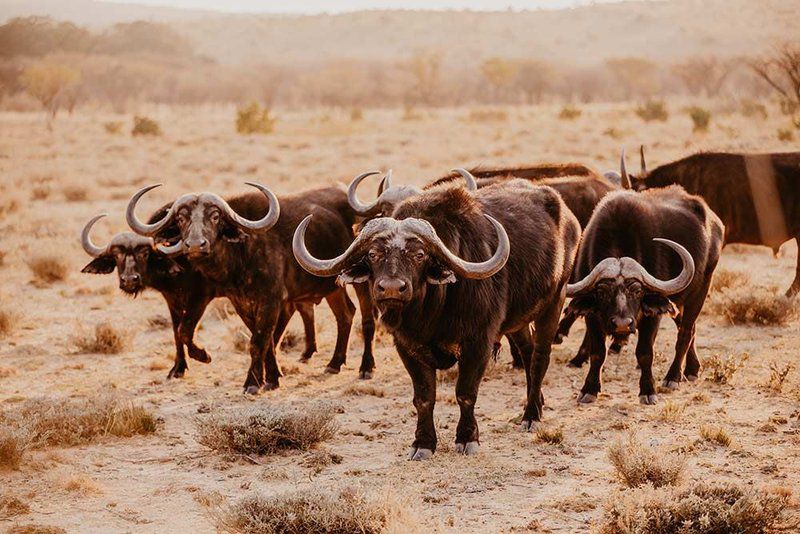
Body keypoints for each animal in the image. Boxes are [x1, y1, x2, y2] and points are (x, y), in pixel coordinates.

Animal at [126, 184, 376, 394]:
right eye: (181, 218)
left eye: (215, 216)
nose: (196, 245)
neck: (241, 254)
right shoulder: (240, 302)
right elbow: (266, 342)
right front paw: (271, 378)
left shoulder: (270, 301)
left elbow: (258, 342)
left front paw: (252, 383)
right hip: (332, 287)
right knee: (345, 314)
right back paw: (334, 363)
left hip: (362, 282)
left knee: (366, 319)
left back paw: (366, 367)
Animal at [290, 177, 580, 460]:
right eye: (373, 254)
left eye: (419, 255)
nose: (392, 288)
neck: (432, 313)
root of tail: (567, 216)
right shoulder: (407, 346)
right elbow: (423, 397)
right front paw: (423, 443)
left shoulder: (479, 341)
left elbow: (465, 392)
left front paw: (467, 438)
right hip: (517, 320)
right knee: (528, 351)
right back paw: (537, 403)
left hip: (554, 301)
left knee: (540, 357)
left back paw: (531, 416)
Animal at [560, 178, 720, 404]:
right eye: (602, 292)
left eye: (637, 291)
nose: (621, 324)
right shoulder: (593, 315)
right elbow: (597, 353)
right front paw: (589, 389)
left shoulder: (652, 315)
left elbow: (645, 353)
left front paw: (648, 390)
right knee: (690, 329)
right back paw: (691, 369)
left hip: (701, 289)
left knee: (686, 332)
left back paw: (673, 377)